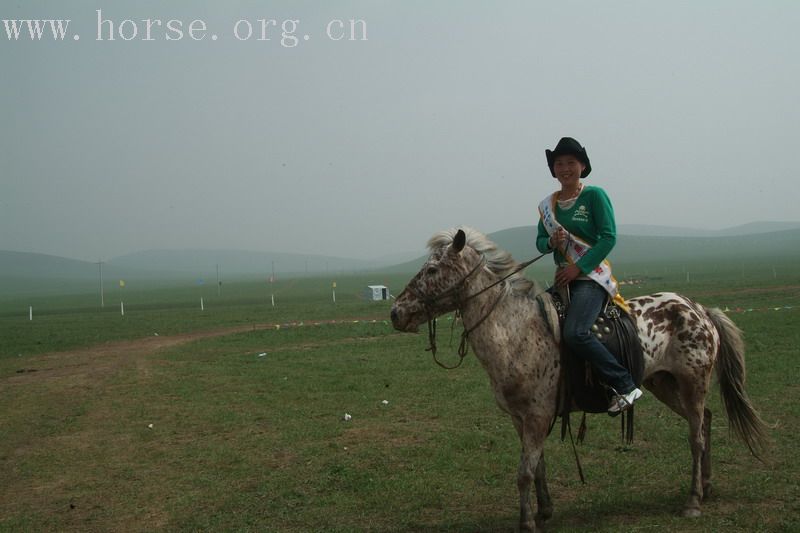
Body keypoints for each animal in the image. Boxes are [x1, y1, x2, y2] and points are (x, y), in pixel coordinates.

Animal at [390, 227, 764, 528]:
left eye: (432, 269)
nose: (396, 312)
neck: (516, 332)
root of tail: (699, 309)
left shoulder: (537, 416)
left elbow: (524, 473)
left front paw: (526, 523)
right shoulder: (521, 418)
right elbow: (537, 466)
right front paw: (544, 512)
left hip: (692, 383)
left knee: (695, 437)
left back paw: (693, 501)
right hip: (664, 384)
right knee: (705, 421)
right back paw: (707, 486)